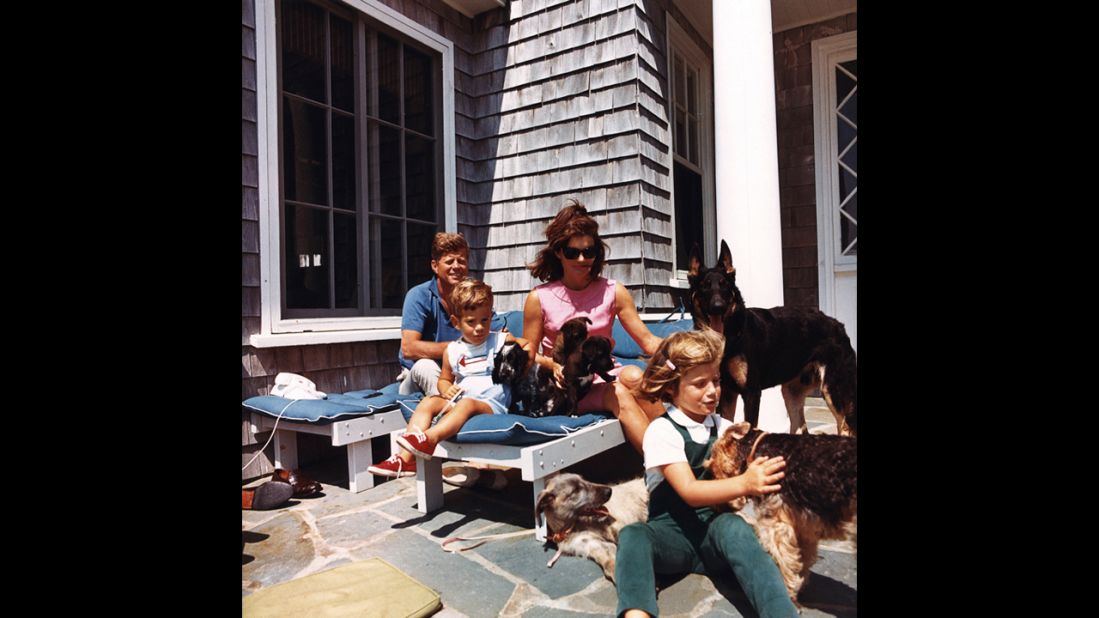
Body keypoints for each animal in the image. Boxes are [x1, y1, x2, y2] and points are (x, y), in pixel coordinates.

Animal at [685, 240, 857, 433]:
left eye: (725, 285)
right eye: (704, 286)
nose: (718, 307)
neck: (730, 336)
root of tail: (839, 325)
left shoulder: (751, 393)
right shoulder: (726, 394)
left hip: (833, 390)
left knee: (845, 428)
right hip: (791, 393)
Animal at [703, 420, 857, 602]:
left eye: (711, 468)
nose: (716, 508)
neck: (756, 450)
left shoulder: (775, 526)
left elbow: (783, 564)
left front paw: (788, 593)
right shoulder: (803, 527)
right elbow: (801, 561)